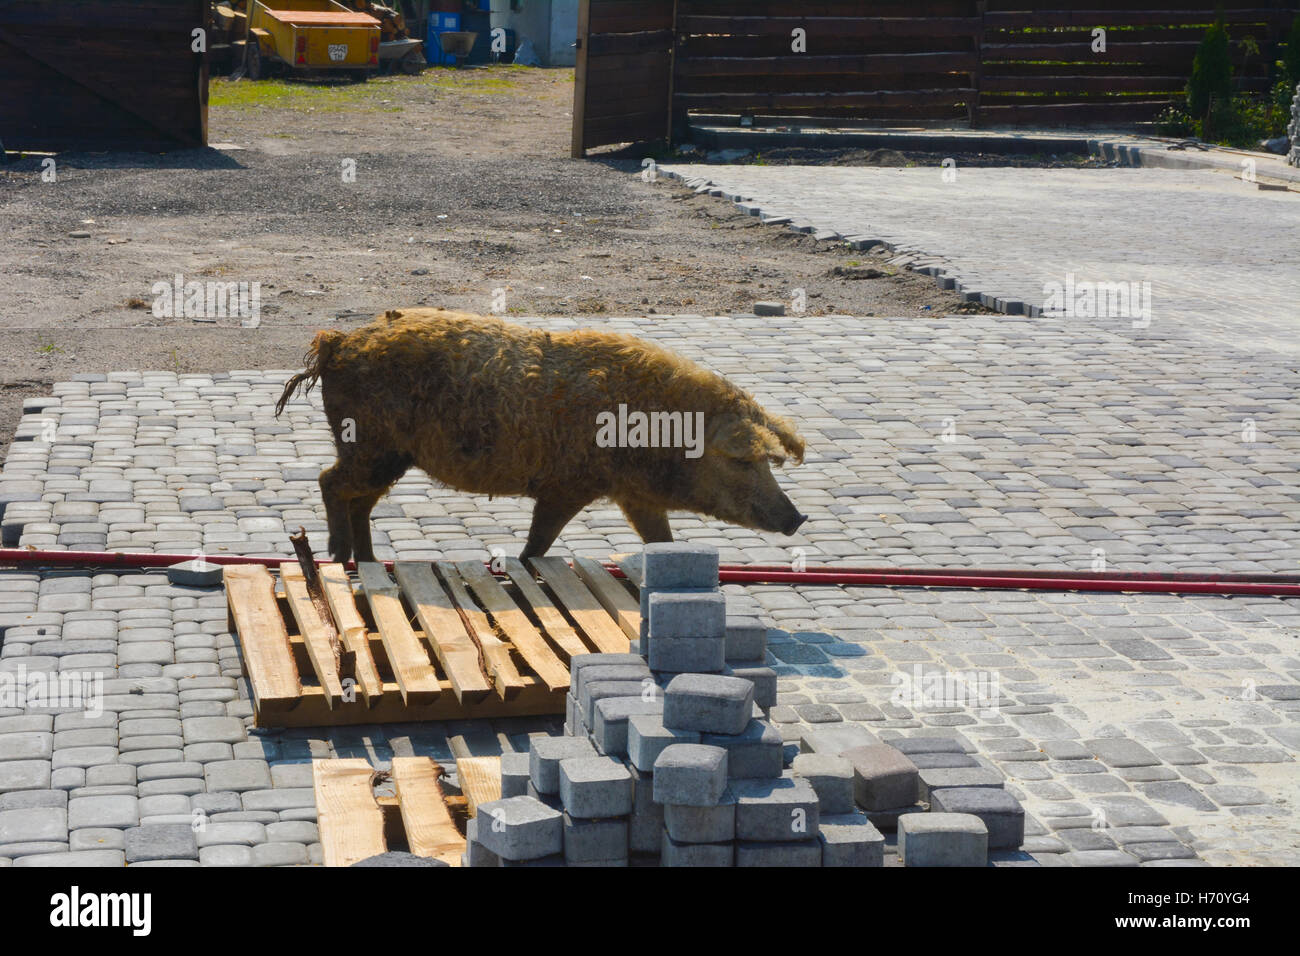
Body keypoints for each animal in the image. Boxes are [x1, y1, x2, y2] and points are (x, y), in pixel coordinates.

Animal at [274, 306, 800, 564]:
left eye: (769, 463)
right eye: (743, 461)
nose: (799, 518)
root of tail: (337, 342)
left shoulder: (633, 496)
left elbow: (661, 541)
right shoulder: (567, 485)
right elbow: (541, 540)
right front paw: (524, 568)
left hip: (389, 455)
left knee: (359, 499)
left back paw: (366, 560)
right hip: (370, 444)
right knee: (329, 481)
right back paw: (337, 554)